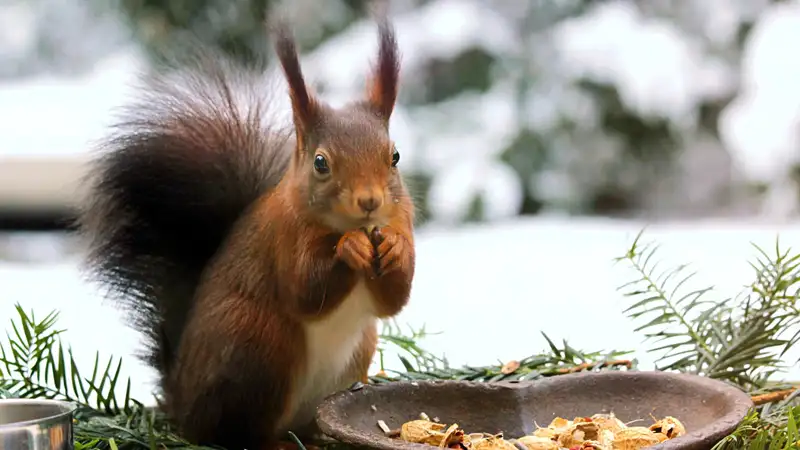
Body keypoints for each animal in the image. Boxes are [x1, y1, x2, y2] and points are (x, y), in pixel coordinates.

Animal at [79, 16, 418, 450]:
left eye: (394, 156)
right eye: (320, 163)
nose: (370, 201)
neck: (344, 224)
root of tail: (181, 403)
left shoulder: (401, 218)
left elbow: (392, 301)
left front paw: (395, 250)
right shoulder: (283, 238)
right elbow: (306, 291)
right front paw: (350, 248)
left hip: (355, 351)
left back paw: (316, 435)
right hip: (259, 346)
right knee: (236, 433)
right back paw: (275, 442)